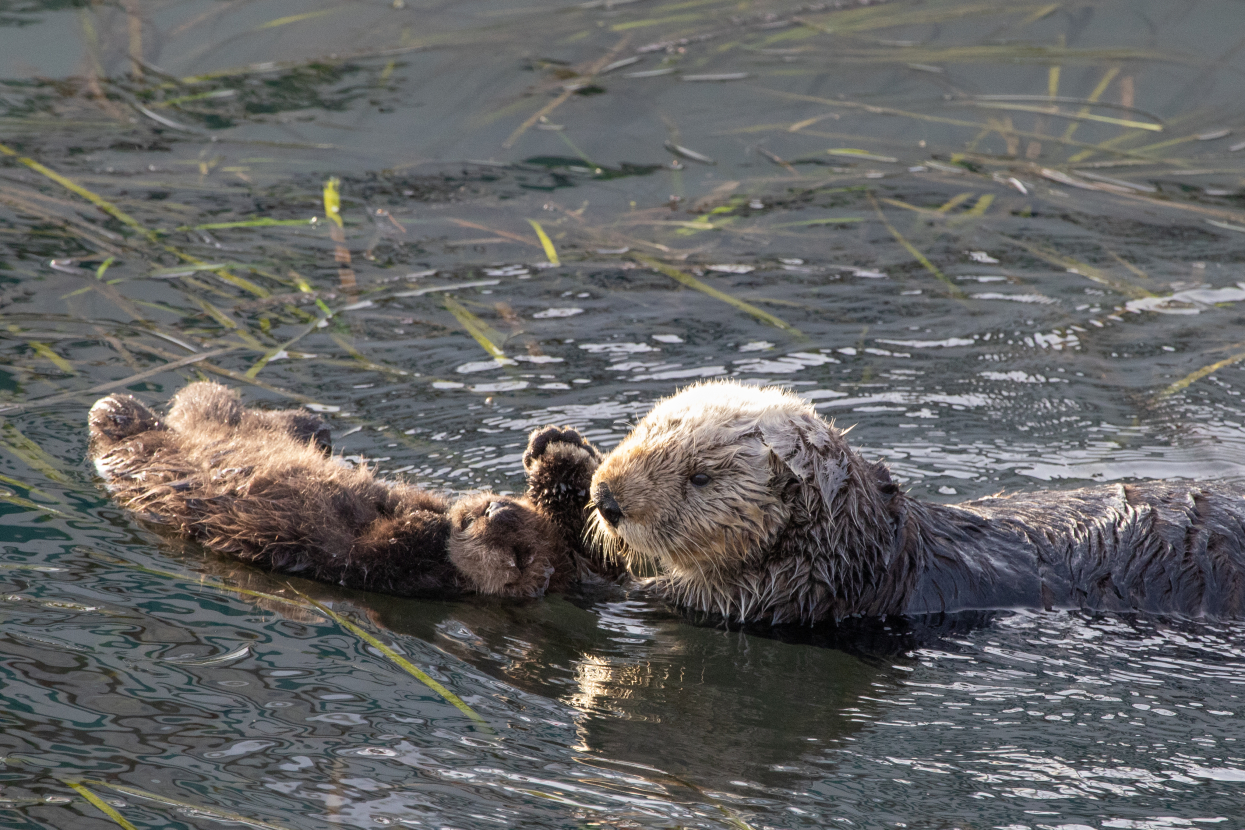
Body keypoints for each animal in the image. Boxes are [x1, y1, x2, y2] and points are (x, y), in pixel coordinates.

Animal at [88, 382, 611, 599]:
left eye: (518, 555)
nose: (492, 512)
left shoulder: (394, 575)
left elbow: (379, 551)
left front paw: (425, 523)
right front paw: (556, 448)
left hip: (140, 444)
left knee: (144, 416)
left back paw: (114, 408)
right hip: (221, 422)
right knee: (219, 401)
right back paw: (309, 423)